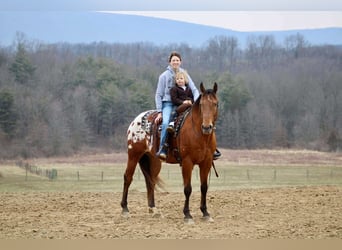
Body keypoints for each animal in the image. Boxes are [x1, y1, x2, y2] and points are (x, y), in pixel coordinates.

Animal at [121, 83, 219, 224]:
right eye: (201, 105)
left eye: (215, 104)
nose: (206, 127)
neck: (199, 134)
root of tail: (136, 120)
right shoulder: (187, 162)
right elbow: (187, 189)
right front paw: (187, 215)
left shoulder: (206, 162)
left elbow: (204, 187)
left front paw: (205, 213)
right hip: (133, 155)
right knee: (128, 178)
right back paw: (125, 209)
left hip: (153, 161)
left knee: (150, 181)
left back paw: (154, 209)